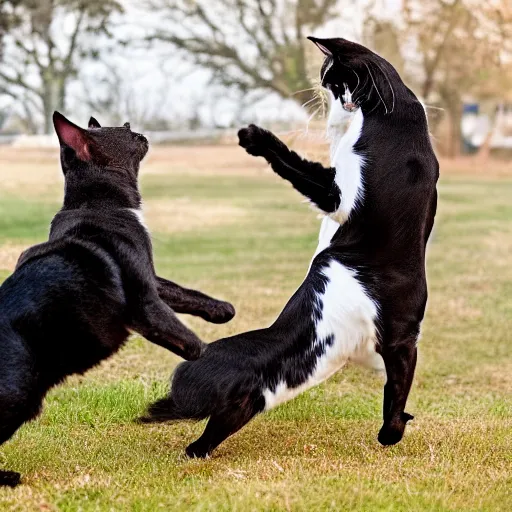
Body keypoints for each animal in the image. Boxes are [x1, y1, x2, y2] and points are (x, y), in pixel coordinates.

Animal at [0, 113, 235, 488]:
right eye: (123, 131)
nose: (134, 127)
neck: (95, 203)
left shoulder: (151, 281)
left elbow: (183, 293)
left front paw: (221, 310)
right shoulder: (147, 307)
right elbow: (195, 345)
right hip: (17, 395)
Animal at [142, 38, 438, 458]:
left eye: (331, 80)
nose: (323, 92)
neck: (394, 116)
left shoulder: (338, 195)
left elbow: (295, 165)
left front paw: (254, 137)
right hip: (389, 346)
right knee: (397, 389)